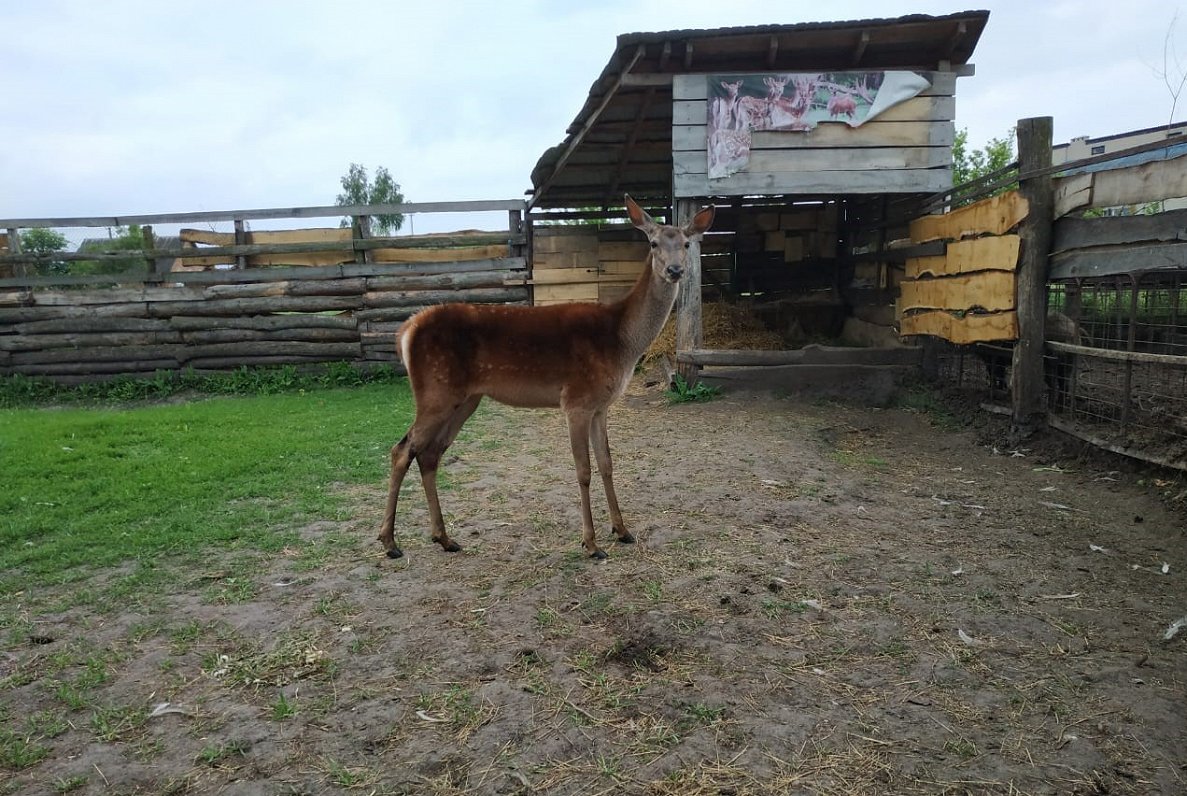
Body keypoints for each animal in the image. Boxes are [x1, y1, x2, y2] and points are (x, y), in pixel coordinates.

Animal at [379, 195, 712, 559]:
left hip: (464, 399)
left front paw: (622, 530)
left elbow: (607, 464)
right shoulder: (576, 400)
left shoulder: (601, 405)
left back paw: (444, 538)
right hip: (435, 390)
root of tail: (406, 330)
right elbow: (583, 470)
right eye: (653, 243)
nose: (675, 270)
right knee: (401, 449)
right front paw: (591, 543)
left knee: (429, 453)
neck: (621, 342)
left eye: (687, 243)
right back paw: (390, 541)